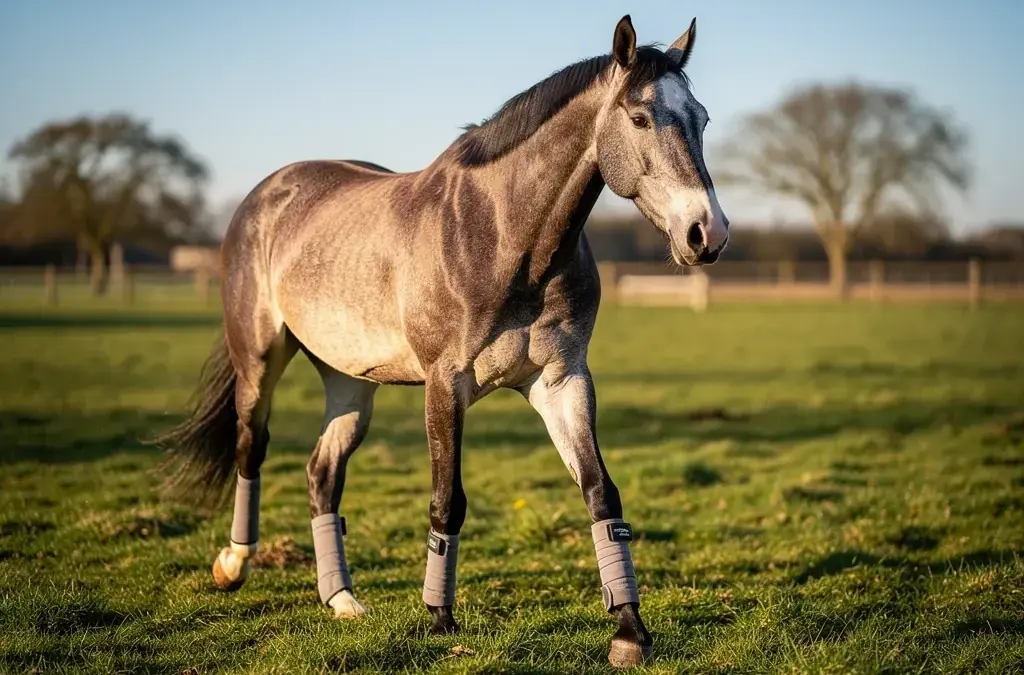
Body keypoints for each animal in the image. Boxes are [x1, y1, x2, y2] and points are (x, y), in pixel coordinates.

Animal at [154, 14, 728, 668]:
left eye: (702, 118)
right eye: (638, 117)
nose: (707, 233)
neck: (504, 236)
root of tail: (266, 194)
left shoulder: (562, 383)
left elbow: (600, 495)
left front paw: (629, 632)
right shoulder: (445, 385)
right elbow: (446, 500)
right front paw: (438, 620)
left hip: (350, 385)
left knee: (322, 473)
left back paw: (342, 600)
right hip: (258, 361)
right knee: (252, 447)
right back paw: (233, 564)